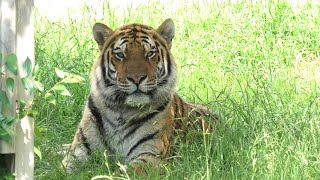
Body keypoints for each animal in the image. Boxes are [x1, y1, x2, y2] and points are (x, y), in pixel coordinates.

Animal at [62, 18, 218, 174]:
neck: (120, 112)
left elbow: (121, 174)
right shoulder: (78, 152)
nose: (136, 79)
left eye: (150, 53)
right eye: (120, 54)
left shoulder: (150, 155)